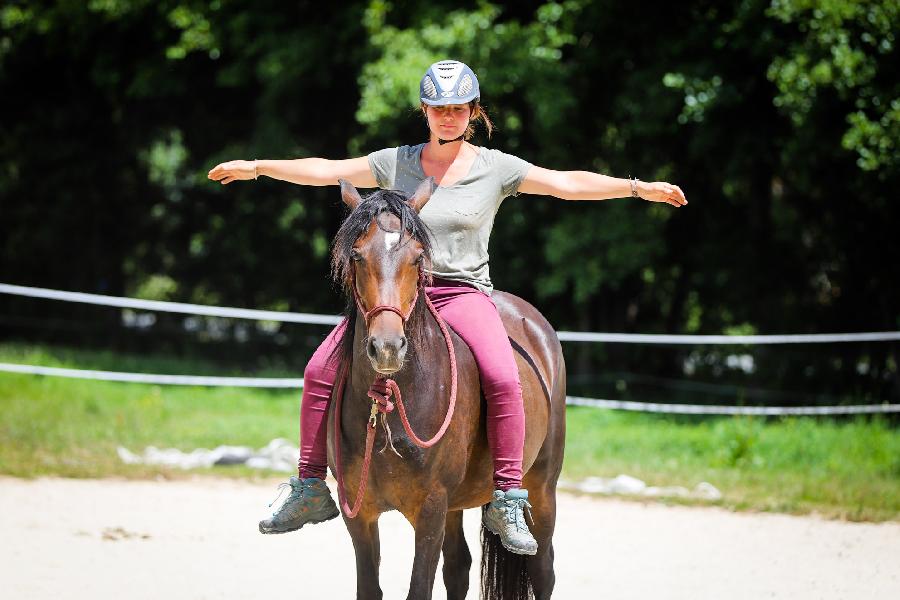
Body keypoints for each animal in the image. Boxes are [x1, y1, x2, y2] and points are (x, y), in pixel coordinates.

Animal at [326, 179, 568, 600]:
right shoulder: (359, 514)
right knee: (459, 567)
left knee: (543, 569)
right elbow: (370, 588)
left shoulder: (430, 510)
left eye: (417, 257)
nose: (387, 347)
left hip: (541, 487)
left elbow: (419, 588)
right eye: (357, 256)